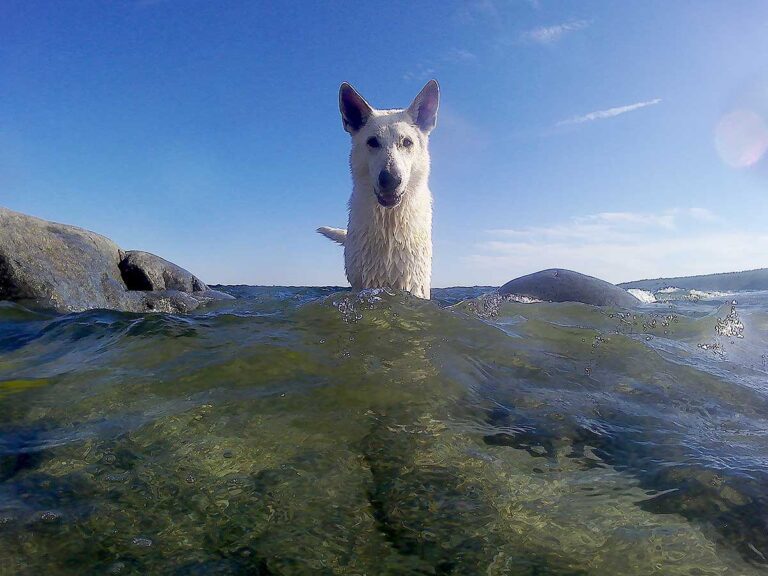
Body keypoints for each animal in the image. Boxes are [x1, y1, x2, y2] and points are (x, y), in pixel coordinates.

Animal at [316, 81, 438, 302]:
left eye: (407, 142)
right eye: (372, 142)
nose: (390, 180)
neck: (389, 222)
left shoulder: (414, 284)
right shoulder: (363, 285)